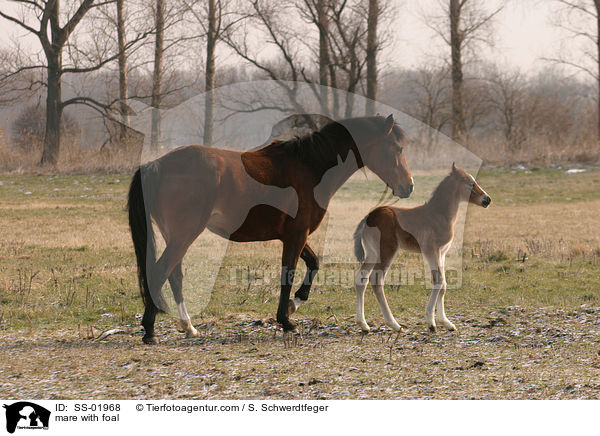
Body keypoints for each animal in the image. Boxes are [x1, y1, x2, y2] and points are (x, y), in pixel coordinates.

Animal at [354, 165, 490, 332]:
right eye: (470, 182)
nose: (487, 199)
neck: (439, 215)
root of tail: (369, 217)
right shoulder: (431, 250)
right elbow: (438, 280)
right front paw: (431, 322)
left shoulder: (442, 252)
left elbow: (444, 284)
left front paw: (446, 322)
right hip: (387, 251)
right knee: (376, 279)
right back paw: (394, 324)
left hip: (372, 253)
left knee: (361, 278)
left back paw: (363, 324)